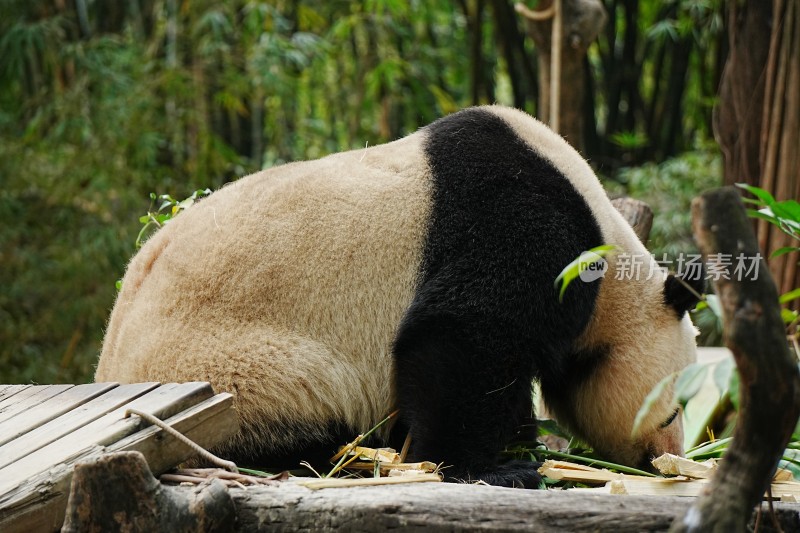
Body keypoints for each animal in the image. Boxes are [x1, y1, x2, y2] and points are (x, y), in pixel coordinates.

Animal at [98, 106, 700, 488]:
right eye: (674, 410)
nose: (666, 458)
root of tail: (109, 365)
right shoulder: (519, 223)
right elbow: (460, 337)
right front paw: (493, 468)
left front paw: (516, 444)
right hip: (233, 365)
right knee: (300, 404)